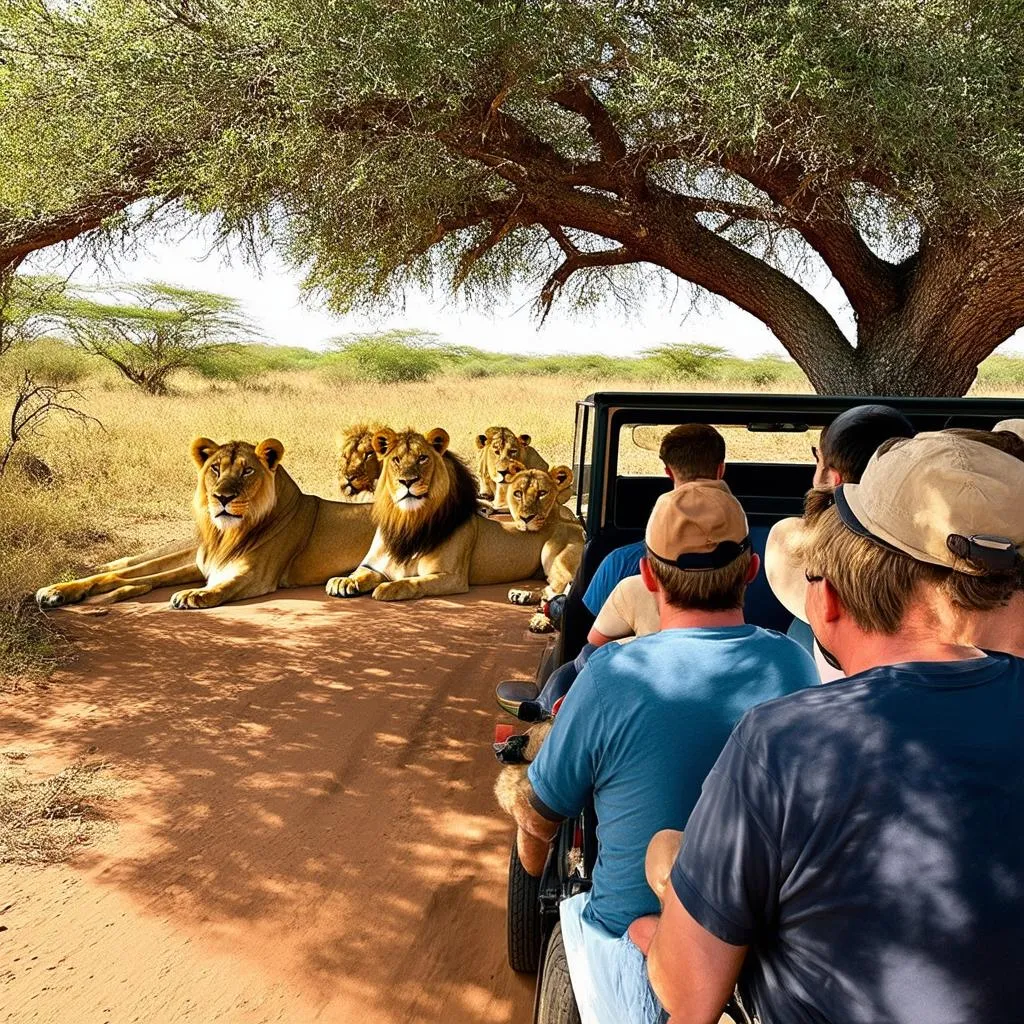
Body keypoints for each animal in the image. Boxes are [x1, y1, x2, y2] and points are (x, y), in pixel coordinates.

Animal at [37, 438, 380, 610]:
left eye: (247, 471)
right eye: (215, 469)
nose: (222, 497)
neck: (226, 534)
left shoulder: (256, 575)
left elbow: (222, 586)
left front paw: (193, 595)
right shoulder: (201, 564)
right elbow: (128, 575)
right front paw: (58, 590)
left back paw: (348, 584)